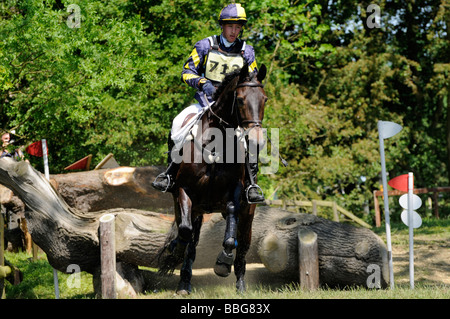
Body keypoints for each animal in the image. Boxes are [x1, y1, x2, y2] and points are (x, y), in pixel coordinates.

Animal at [158, 63, 268, 296]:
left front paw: (223, 262)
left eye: (264, 99)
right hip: (195, 210)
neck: (216, 143)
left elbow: (230, 236)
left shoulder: (234, 192)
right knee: (190, 241)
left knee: (242, 246)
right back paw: (184, 283)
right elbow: (184, 232)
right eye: (241, 99)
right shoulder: (183, 191)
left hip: (247, 215)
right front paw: (175, 250)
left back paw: (241, 285)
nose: (256, 141)